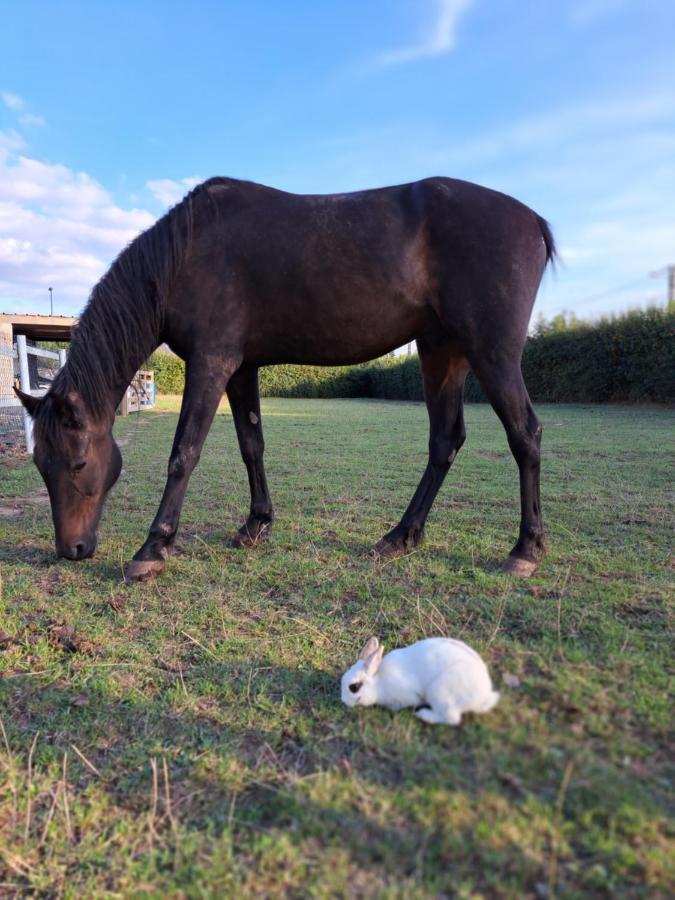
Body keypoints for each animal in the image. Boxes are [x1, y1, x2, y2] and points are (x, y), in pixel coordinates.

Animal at [15, 177, 556, 584]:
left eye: (79, 462)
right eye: (40, 464)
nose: (71, 549)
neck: (186, 254)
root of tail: (531, 219)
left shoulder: (211, 362)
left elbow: (184, 453)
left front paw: (153, 548)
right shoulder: (240, 368)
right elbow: (251, 444)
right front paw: (256, 525)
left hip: (491, 352)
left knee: (524, 434)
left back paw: (525, 549)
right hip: (442, 351)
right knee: (445, 441)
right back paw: (400, 536)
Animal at [340, 632, 500, 724]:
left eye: (354, 687)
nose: (344, 702)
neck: (379, 683)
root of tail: (484, 696)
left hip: (440, 693)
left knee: (451, 718)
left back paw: (424, 715)